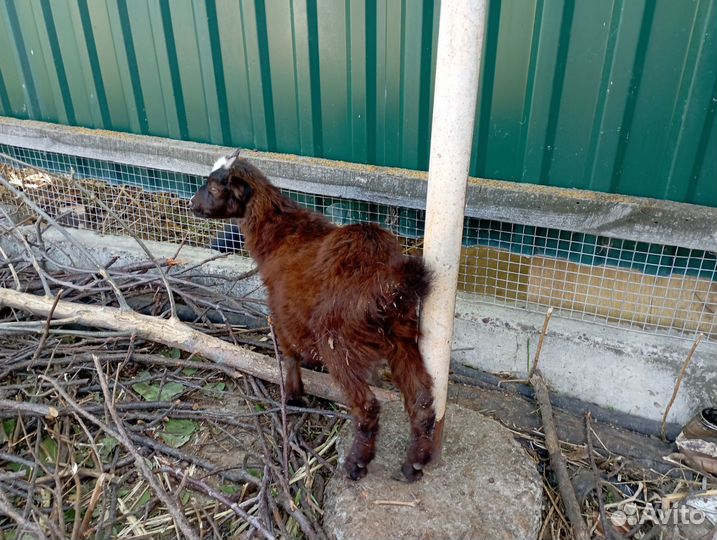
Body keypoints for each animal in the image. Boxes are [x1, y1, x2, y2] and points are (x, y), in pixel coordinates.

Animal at [191, 152, 436, 482]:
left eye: (215, 188)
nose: (192, 203)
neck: (277, 234)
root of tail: (385, 282)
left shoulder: (278, 306)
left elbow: (289, 351)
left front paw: (293, 394)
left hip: (338, 341)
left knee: (367, 406)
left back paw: (356, 463)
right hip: (402, 334)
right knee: (421, 400)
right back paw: (414, 464)